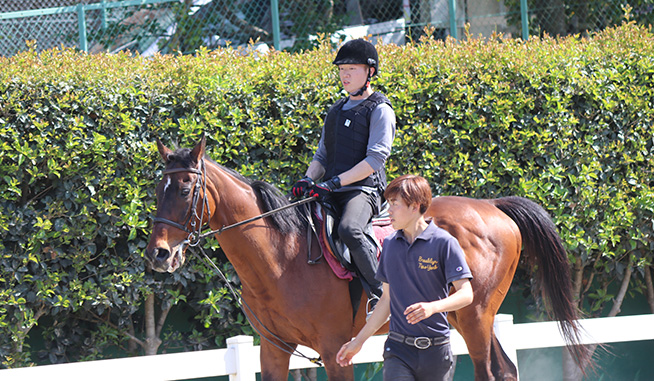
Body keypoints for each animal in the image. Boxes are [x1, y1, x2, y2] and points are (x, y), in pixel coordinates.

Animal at [146, 135, 592, 378]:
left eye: (184, 189)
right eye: (156, 190)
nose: (158, 254)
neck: (282, 255)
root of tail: (493, 207)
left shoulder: (335, 351)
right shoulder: (274, 350)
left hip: (475, 315)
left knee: (490, 371)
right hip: (465, 318)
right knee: (506, 370)